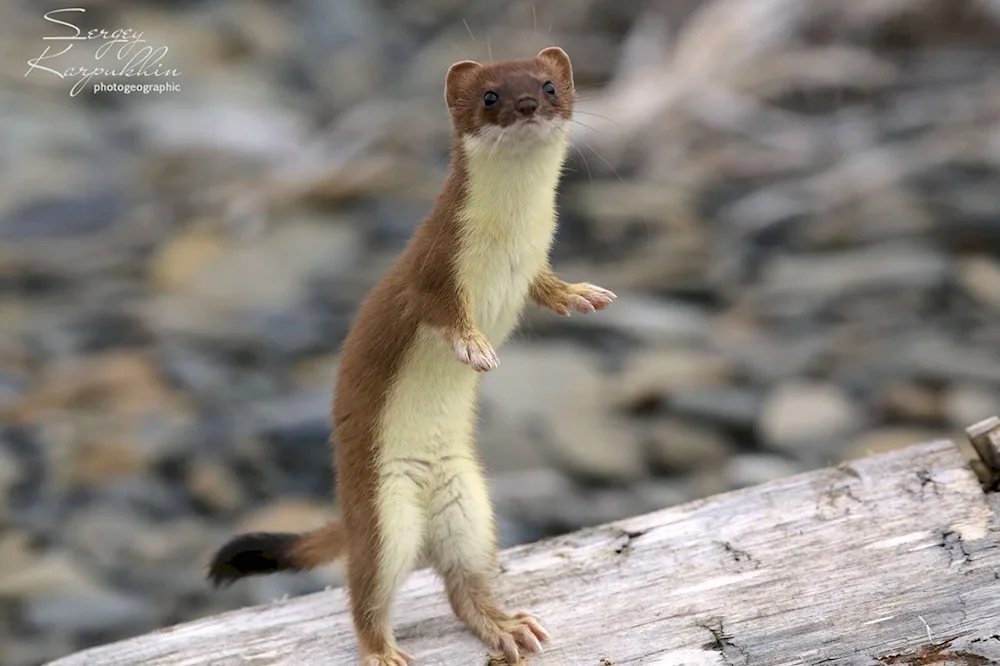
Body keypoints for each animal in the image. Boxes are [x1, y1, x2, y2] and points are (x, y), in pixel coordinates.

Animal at [209, 46, 616, 664]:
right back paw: (382, 650)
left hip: (469, 506)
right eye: (490, 95)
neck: (509, 243)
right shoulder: (431, 268)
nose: (525, 104)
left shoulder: (533, 264)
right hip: (384, 513)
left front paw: (582, 295)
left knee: (464, 584)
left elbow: (547, 287)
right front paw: (475, 345)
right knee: (366, 590)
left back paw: (507, 625)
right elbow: (442, 312)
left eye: (548, 85)